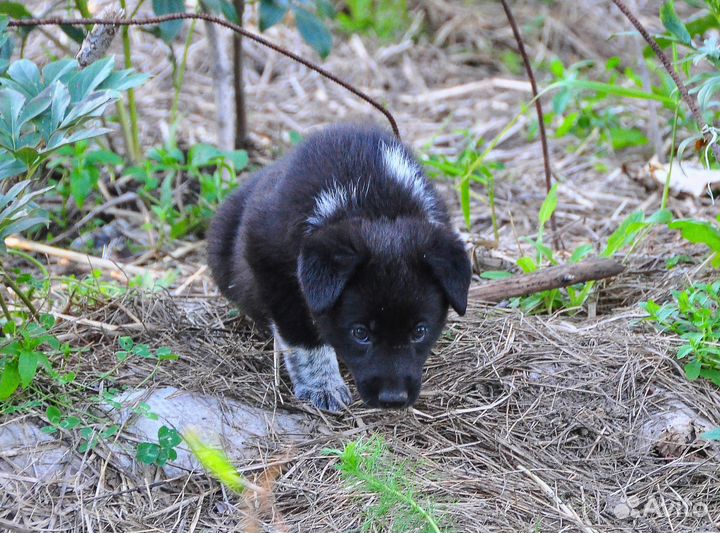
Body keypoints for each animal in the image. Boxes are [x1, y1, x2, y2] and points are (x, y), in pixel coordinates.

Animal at [207, 123, 472, 412]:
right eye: (360, 333)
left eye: (420, 332)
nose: (392, 400)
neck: (371, 200)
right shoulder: (269, 260)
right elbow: (302, 332)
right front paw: (322, 386)